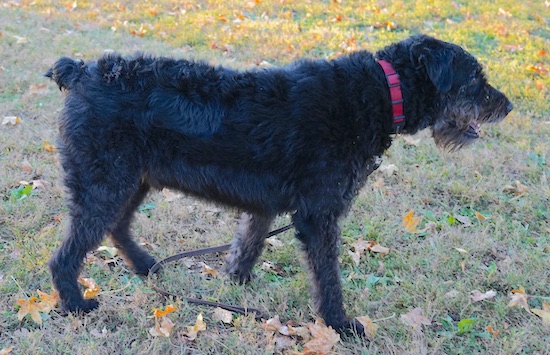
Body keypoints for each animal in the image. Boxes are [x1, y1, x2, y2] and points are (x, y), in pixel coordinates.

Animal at [46, 35, 512, 336]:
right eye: (474, 80)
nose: (507, 106)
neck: (381, 91)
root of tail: (82, 72)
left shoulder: (266, 205)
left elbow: (248, 243)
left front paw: (236, 285)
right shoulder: (319, 216)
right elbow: (327, 276)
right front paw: (340, 324)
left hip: (129, 181)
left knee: (118, 227)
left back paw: (146, 266)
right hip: (106, 183)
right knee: (67, 256)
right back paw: (75, 305)